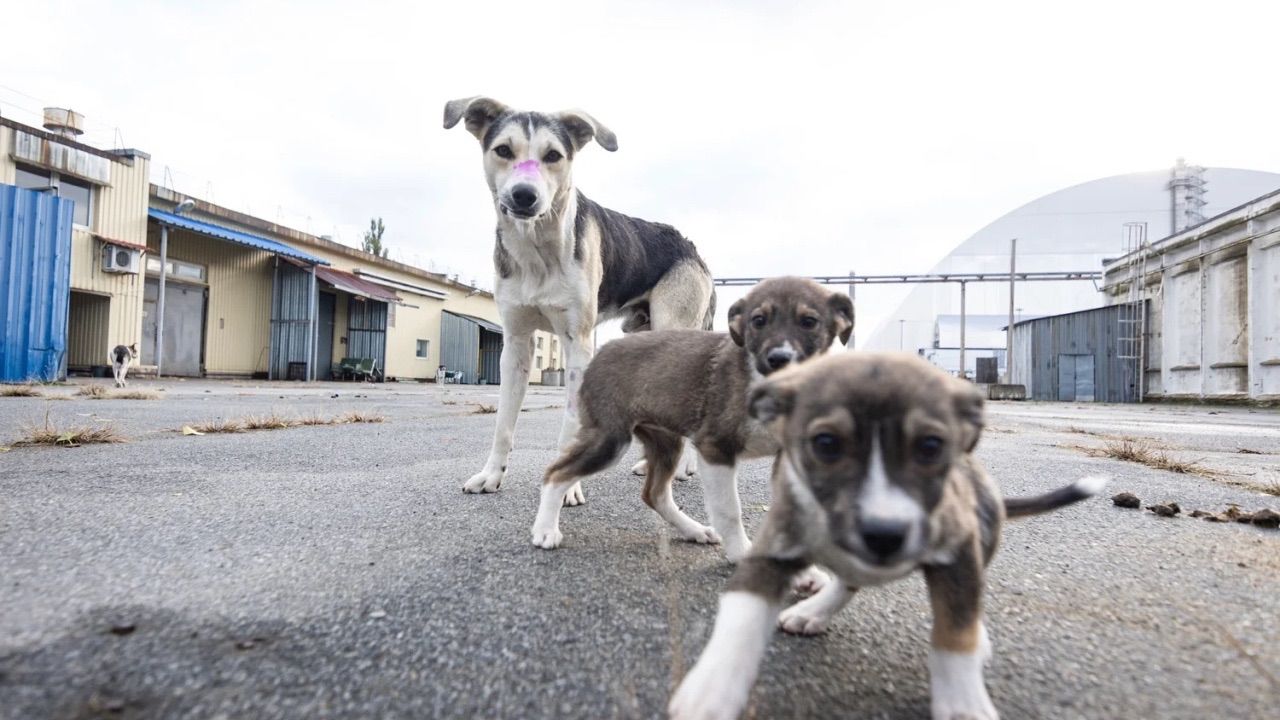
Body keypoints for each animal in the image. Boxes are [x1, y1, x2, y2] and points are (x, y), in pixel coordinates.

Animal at [445, 96, 716, 504]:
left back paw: (683, 469)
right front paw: (492, 475)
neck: (537, 250)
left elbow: (571, 428)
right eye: (504, 150)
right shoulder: (516, 346)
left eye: (553, 155)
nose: (524, 195)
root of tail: (691, 247)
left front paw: (567, 487)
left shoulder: (578, 345)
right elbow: (503, 423)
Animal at [527, 274, 849, 561]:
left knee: (654, 494)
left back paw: (694, 530)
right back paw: (545, 530)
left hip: (665, 440)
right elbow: (729, 510)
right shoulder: (715, 448)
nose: (778, 359)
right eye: (758, 321)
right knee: (556, 473)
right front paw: (742, 553)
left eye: (809, 322)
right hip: (609, 438)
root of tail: (602, 350)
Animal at [670, 351, 1111, 712]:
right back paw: (814, 611)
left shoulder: (957, 553)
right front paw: (709, 692)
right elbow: (740, 620)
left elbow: (954, 634)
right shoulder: (774, 548)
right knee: (848, 581)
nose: (883, 534)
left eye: (931, 446)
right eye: (826, 443)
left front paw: (964, 704)